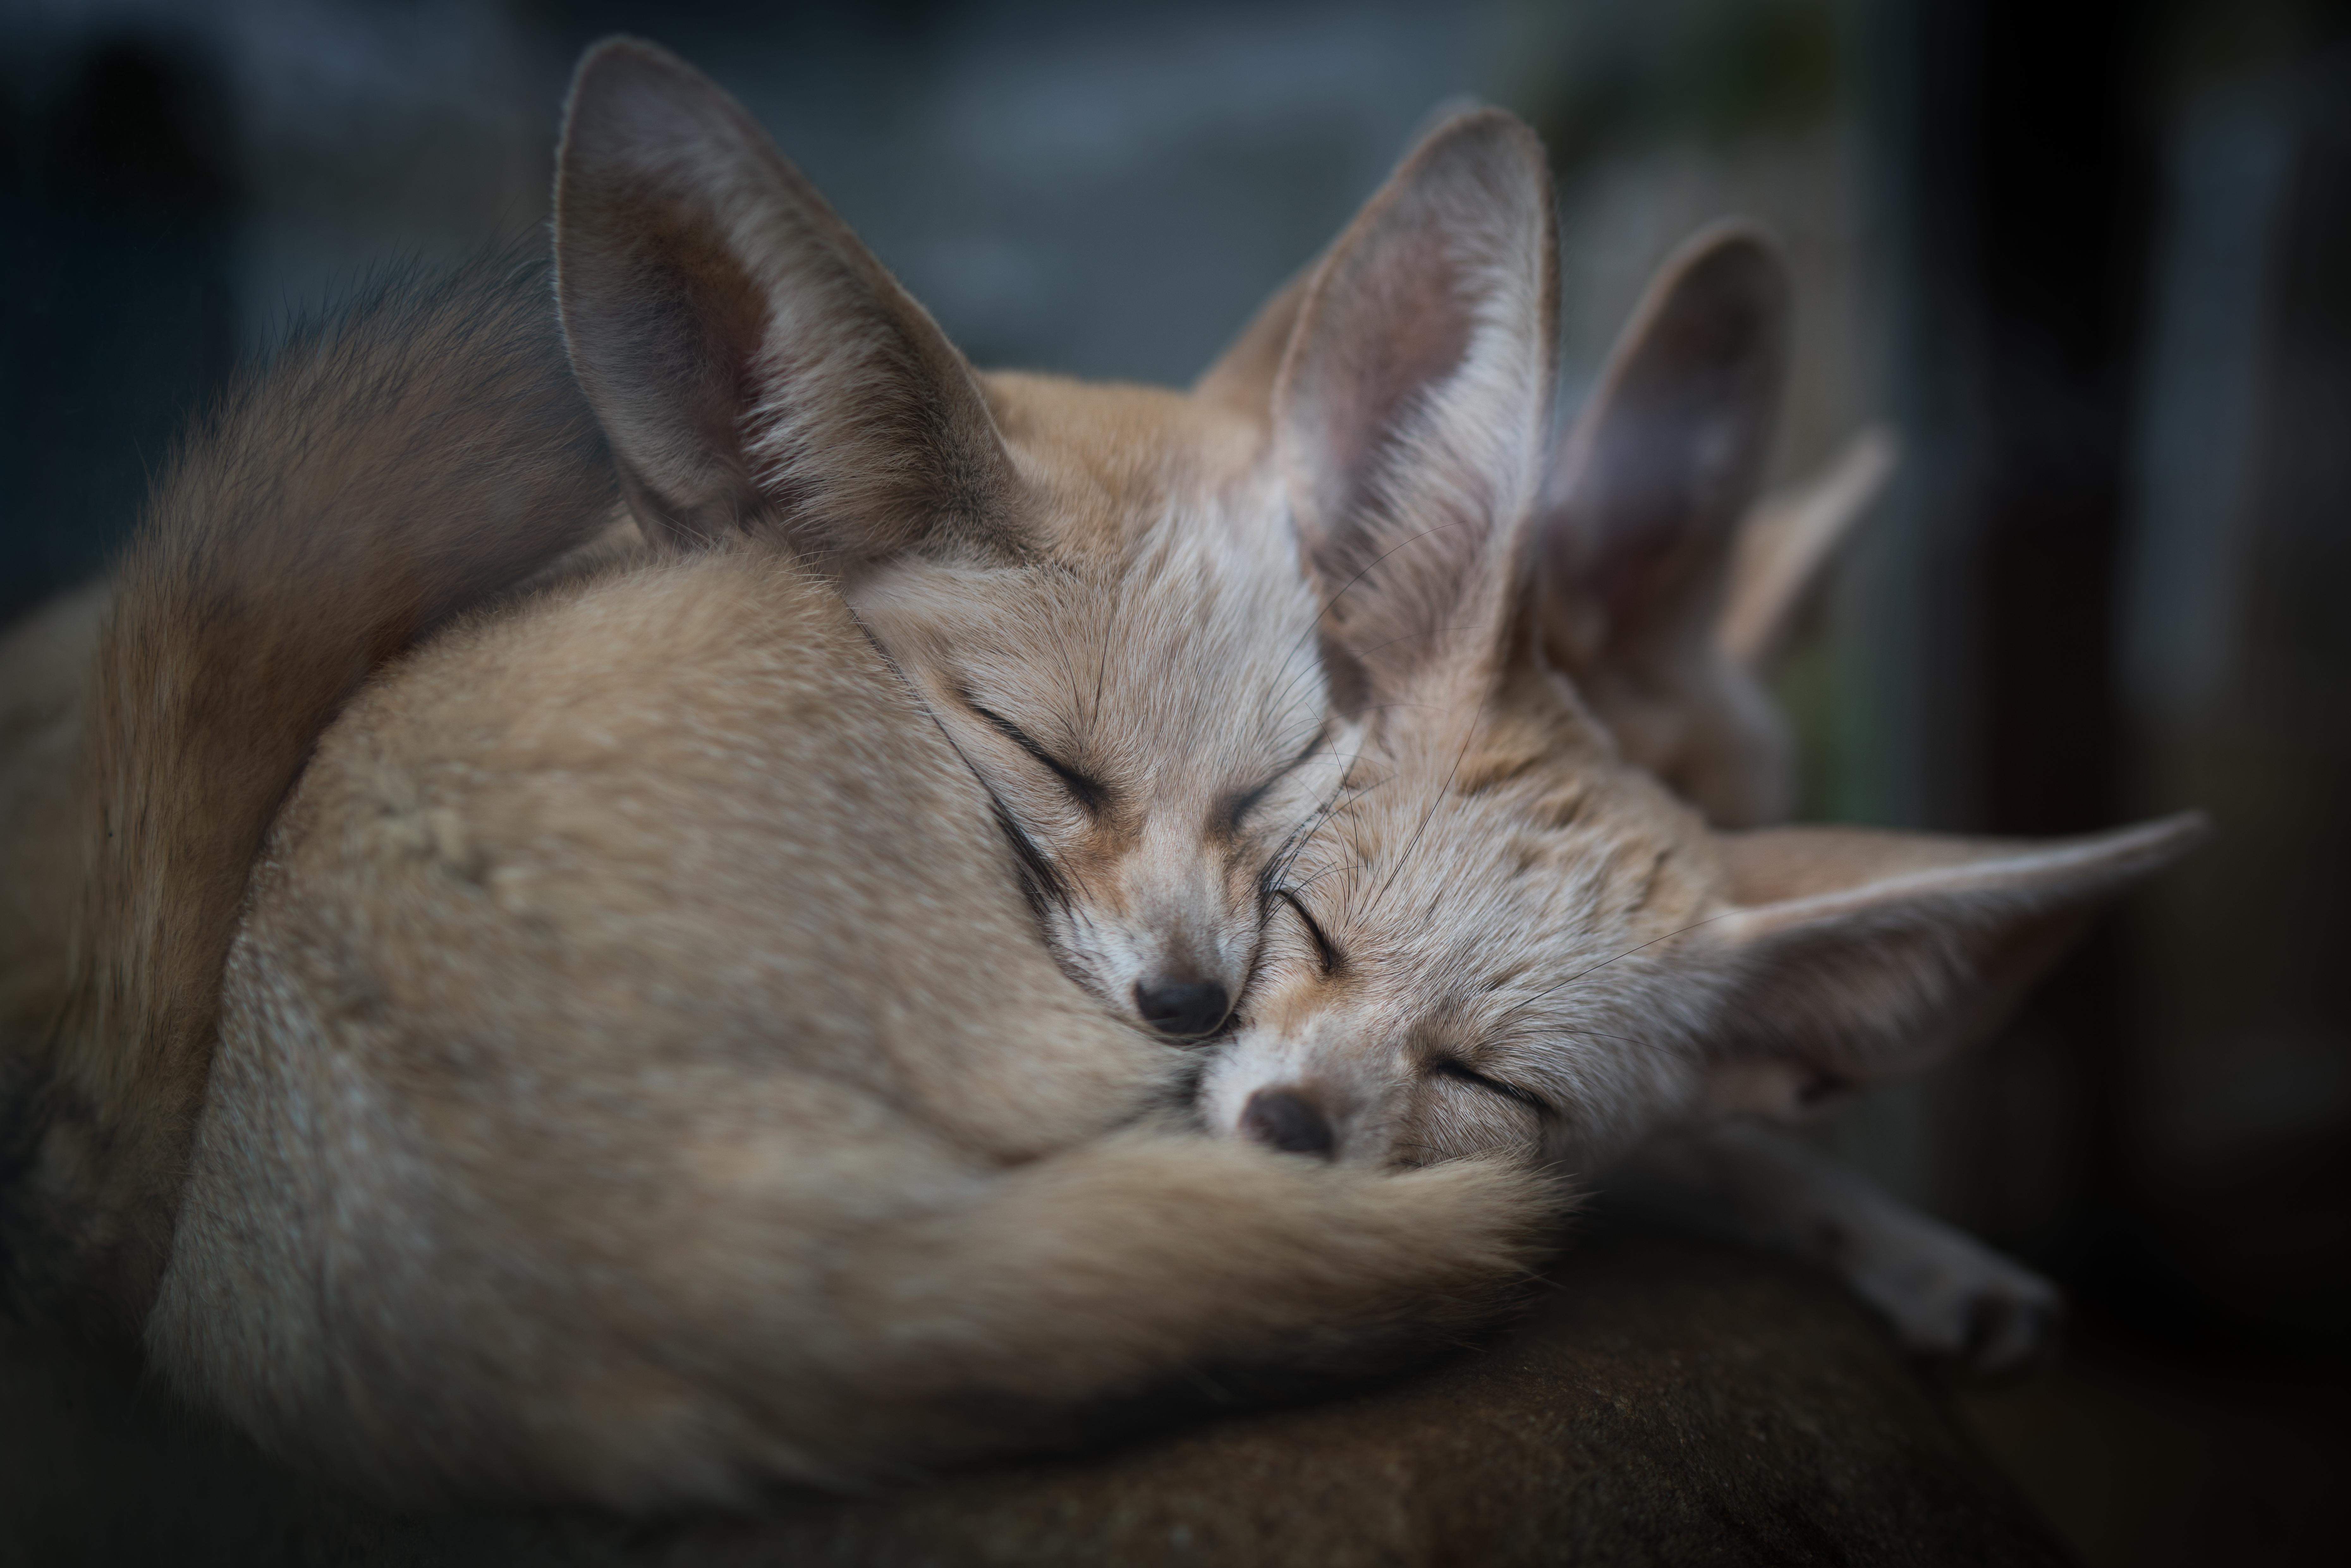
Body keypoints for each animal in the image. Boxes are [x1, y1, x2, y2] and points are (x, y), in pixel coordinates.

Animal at [1194, 210, 2203, 1372]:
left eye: (1490, 1085)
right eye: (1309, 931)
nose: (1283, 1128)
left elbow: (1730, 1150)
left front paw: (1915, 1249)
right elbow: (1730, 1152)